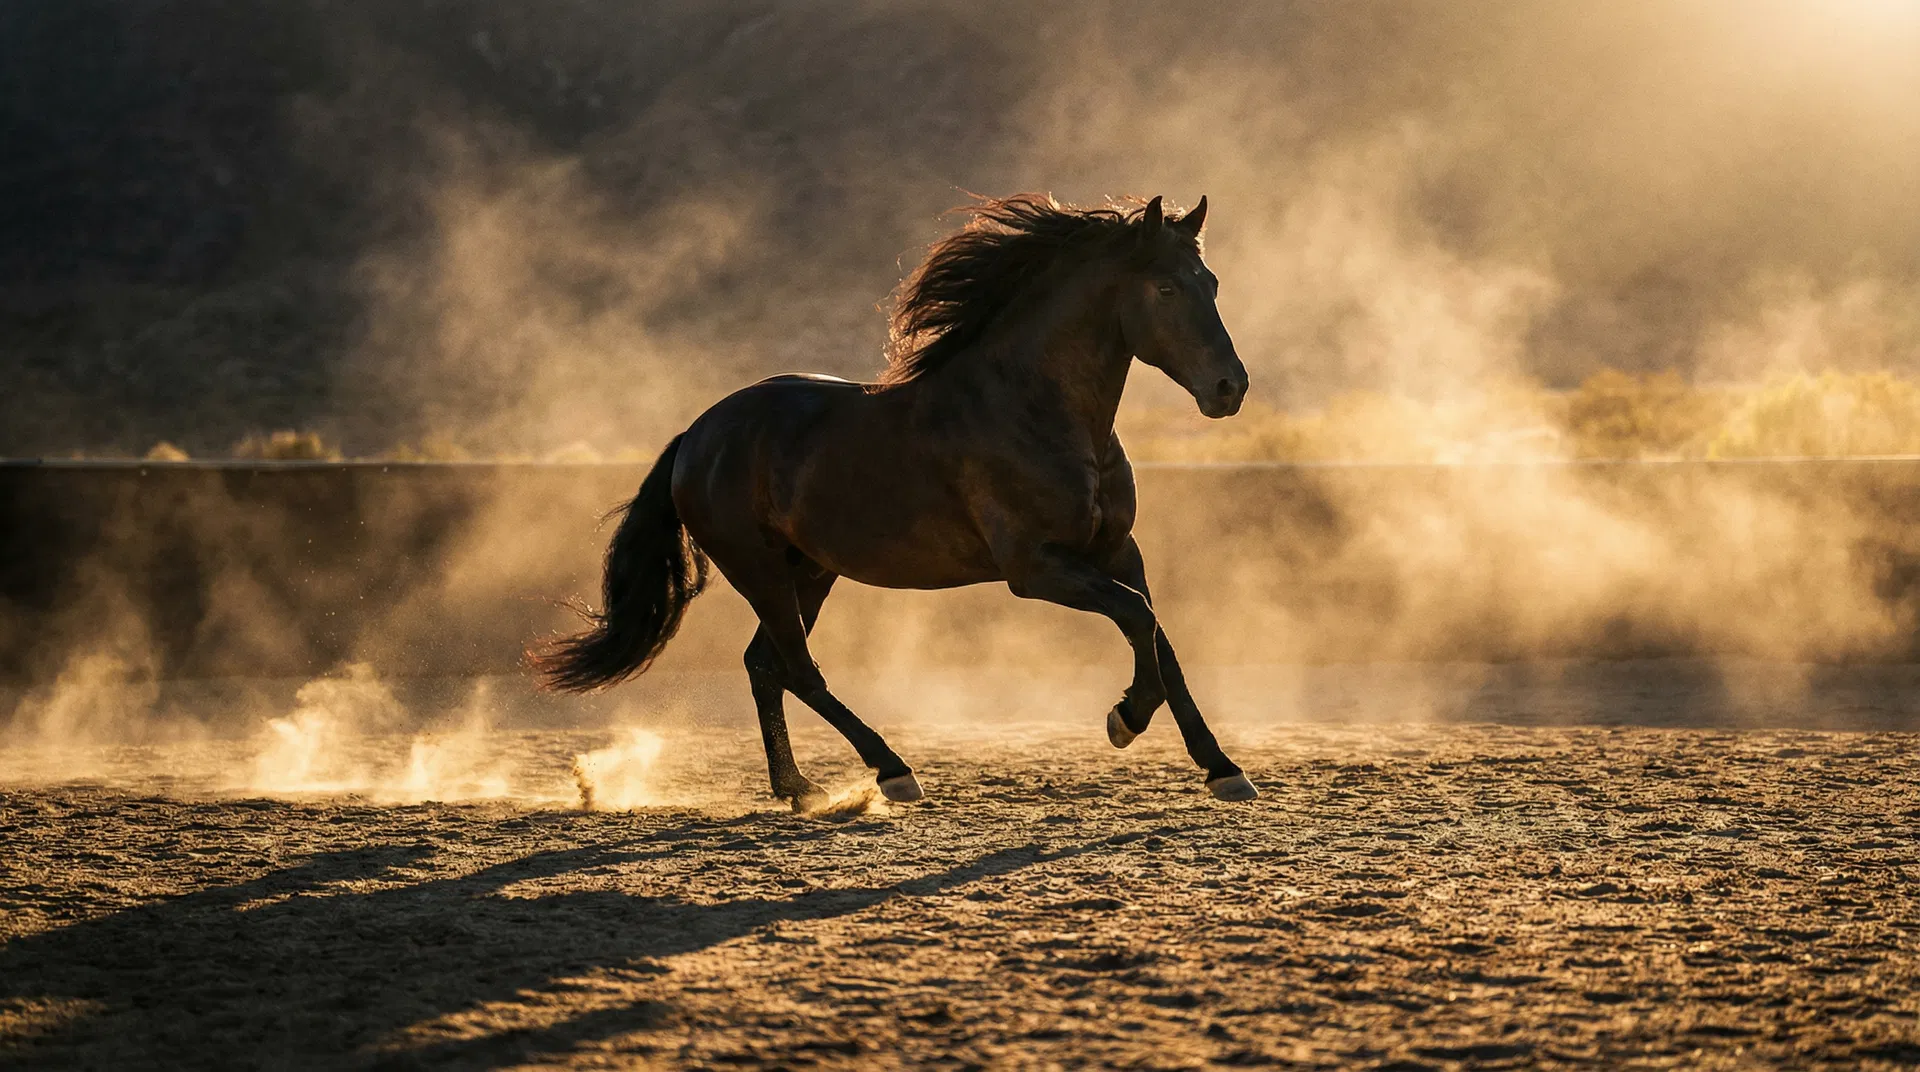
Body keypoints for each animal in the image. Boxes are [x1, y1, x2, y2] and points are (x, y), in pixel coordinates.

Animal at [534, 194, 1257, 809]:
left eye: (1213, 283)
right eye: (1165, 288)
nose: (1230, 388)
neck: (1037, 411)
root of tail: (697, 434)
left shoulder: (1115, 551)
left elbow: (1158, 636)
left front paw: (1223, 770)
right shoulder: (1035, 568)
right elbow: (1137, 618)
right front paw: (1123, 719)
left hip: (809, 570)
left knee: (765, 664)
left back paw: (799, 788)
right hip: (759, 569)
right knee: (799, 669)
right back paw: (892, 772)